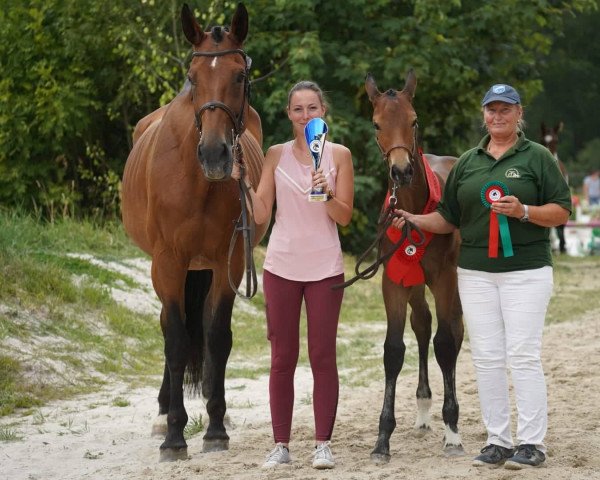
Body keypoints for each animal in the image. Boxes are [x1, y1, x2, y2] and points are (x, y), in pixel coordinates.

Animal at [120, 3, 266, 462]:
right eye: (193, 77)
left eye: (239, 76)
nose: (216, 155)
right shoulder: (167, 263)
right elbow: (176, 338)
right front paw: (173, 435)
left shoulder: (228, 262)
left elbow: (216, 336)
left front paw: (215, 428)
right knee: (173, 326)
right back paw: (163, 412)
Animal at [360, 70, 464, 462]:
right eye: (376, 124)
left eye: (414, 120)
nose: (401, 170)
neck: (414, 212)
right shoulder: (393, 282)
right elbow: (393, 350)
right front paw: (382, 440)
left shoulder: (445, 278)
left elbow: (445, 344)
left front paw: (453, 433)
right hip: (416, 284)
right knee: (422, 325)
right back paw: (422, 411)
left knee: (453, 331)